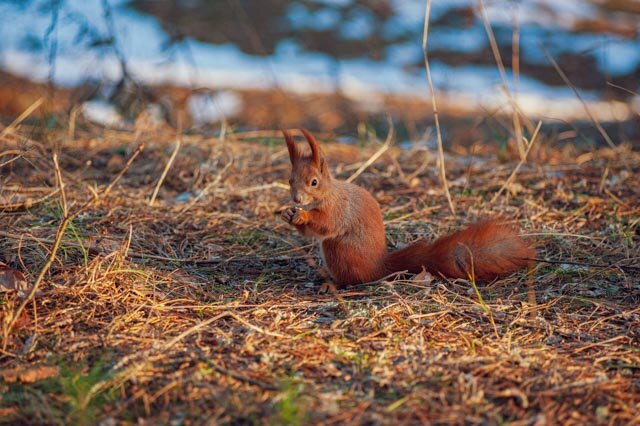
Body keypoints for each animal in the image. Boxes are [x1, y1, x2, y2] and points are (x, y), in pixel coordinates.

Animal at [280, 130, 536, 288]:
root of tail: (378, 267)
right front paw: (288, 214)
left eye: (314, 182)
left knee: (353, 278)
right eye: (290, 180)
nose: (296, 198)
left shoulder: (339, 208)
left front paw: (302, 214)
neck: (328, 194)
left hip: (340, 251)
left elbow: (326, 224)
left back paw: (332, 283)